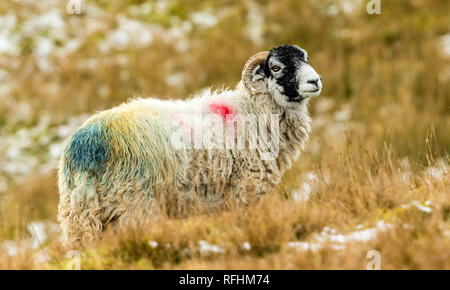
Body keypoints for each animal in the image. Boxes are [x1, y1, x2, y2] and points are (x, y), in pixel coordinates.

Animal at [58, 44, 322, 247]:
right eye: (276, 67)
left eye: (305, 59)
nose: (315, 81)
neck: (253, 110)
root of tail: (85, 148)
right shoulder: (244, 189)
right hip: (133, 205)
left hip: (80, 215)